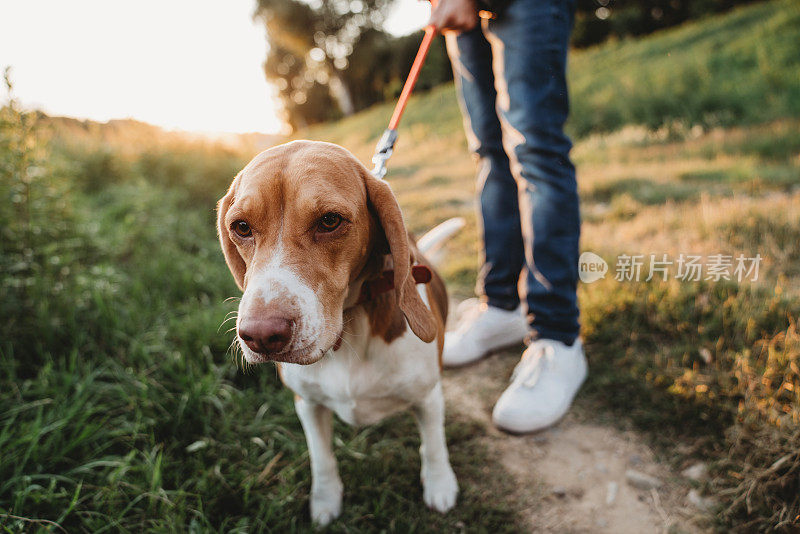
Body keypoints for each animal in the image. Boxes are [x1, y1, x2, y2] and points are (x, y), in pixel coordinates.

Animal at [216, 139, 460, 528]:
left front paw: (439, 485)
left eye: (330, 220)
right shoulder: (307, 404)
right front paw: (325, 500)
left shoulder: (428, 396)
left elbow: (433, 444)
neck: (350, 329)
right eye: (241, 227)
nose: (261, 335)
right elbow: (322, 458)